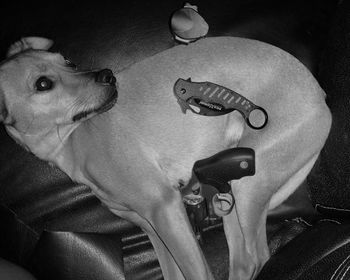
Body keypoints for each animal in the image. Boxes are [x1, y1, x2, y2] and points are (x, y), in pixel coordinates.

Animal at [0, 36, 330, 278]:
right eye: (43, 84)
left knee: (256, 256)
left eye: (68, 61)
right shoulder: (150, 225)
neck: (73, 138)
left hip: (248, 184)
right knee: (245, 259)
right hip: (228, 195)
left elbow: (197, 272)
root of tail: (321, 97)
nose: (108, 75)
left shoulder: (163, 206)